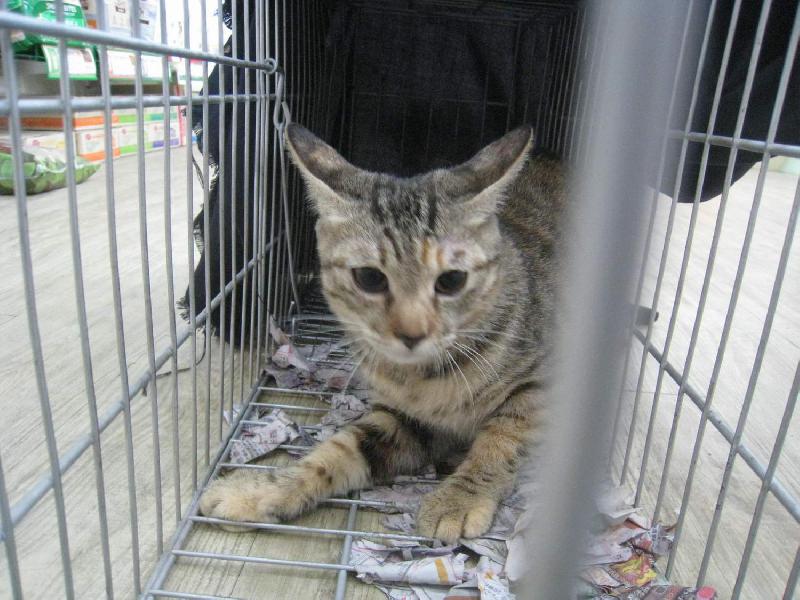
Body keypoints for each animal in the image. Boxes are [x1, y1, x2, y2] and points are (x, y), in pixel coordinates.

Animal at [199, 123, 565, 543]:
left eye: (452, 280)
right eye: (369, 278)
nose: (412, 332)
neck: (426, 377)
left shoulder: (543, 384)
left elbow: (503, 439)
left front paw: (461, 496)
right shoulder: (401, 416)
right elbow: (340, 450)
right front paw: (258, 491)